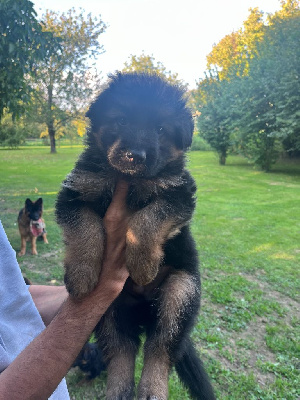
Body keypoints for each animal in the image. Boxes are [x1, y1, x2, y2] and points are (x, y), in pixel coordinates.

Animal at [55, 72, 216, 400]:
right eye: (121, 120)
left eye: (161, 129)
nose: (135, 156)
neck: (128, 179)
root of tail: (143, 310)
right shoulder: (75, 193)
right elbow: (85, 228)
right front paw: (81, 275)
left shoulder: (178, 194)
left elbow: (148, 219)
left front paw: (143, 264)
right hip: (109, 312)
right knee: (121, 353)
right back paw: (118, 392)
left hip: (180, 292)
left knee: (160, 349)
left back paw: (152, 389)